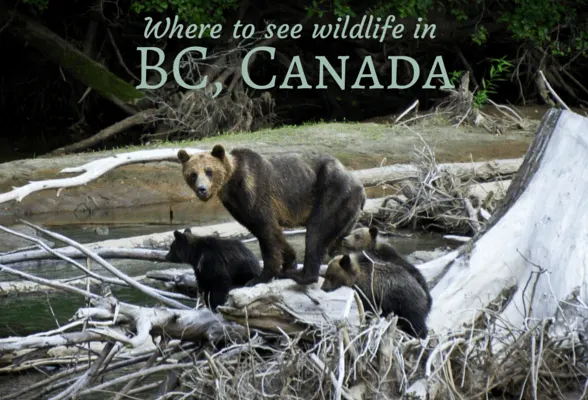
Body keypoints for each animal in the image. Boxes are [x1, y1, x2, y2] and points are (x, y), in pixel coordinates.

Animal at [177, 145, 366, 286]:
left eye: (209, 171)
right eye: (192, 174)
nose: (202, 189)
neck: (231, 184)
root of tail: (360, 188)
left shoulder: (255, 191)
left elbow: (266, 230)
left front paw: (261, 276)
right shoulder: (238, 206)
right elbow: (270, 231)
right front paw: (289, 260)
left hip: (333, 192)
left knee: (316, 231)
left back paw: (302, 275)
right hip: (346, 214)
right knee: (336, 242)